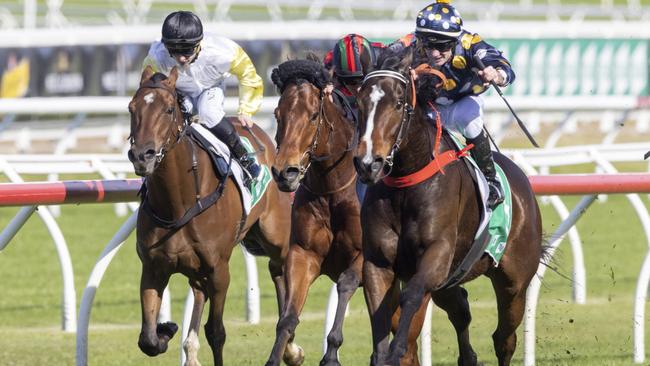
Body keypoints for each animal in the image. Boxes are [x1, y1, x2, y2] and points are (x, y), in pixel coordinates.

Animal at [126, 66, 296, 366]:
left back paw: (291, 346)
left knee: (280, 269)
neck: (177, 203)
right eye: (131, 108)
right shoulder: (153, 268)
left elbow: (216, 332)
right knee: (200, 290)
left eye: (168, 109)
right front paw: (166, 329)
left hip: (275, 236)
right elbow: (147, 339)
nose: (142, 156)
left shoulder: (219, 270)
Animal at [266, 58, 428, 364]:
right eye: (277, 113)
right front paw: (284, 354)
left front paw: (331, 351)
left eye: (313, 115)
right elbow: (287, 318)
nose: (285, 172)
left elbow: (345, 283)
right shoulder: (303, 254)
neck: (332, 188)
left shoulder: (365, 255)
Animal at [352, 46, 540, 366]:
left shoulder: (436, 255)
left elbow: (412, 295)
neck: (407, 181)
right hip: (451, 280)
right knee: (461, 310)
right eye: (360, 100)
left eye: (399, 102)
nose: (368, 163)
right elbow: (379, 312)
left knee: (504, 339)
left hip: (513, 282)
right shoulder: (378, 262)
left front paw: (398, 349)